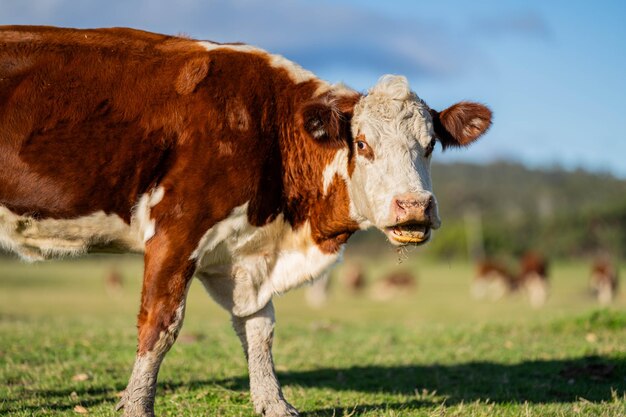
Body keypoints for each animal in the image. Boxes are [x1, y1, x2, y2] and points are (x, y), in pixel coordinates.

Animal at [0, 26, 490, 416]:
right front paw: (137, 406)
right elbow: (160, 325)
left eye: (430, 145)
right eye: (364, 144)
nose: (415, 206)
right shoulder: (176, 230)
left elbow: (259, 329)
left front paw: (274, 402)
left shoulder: (246, 255)